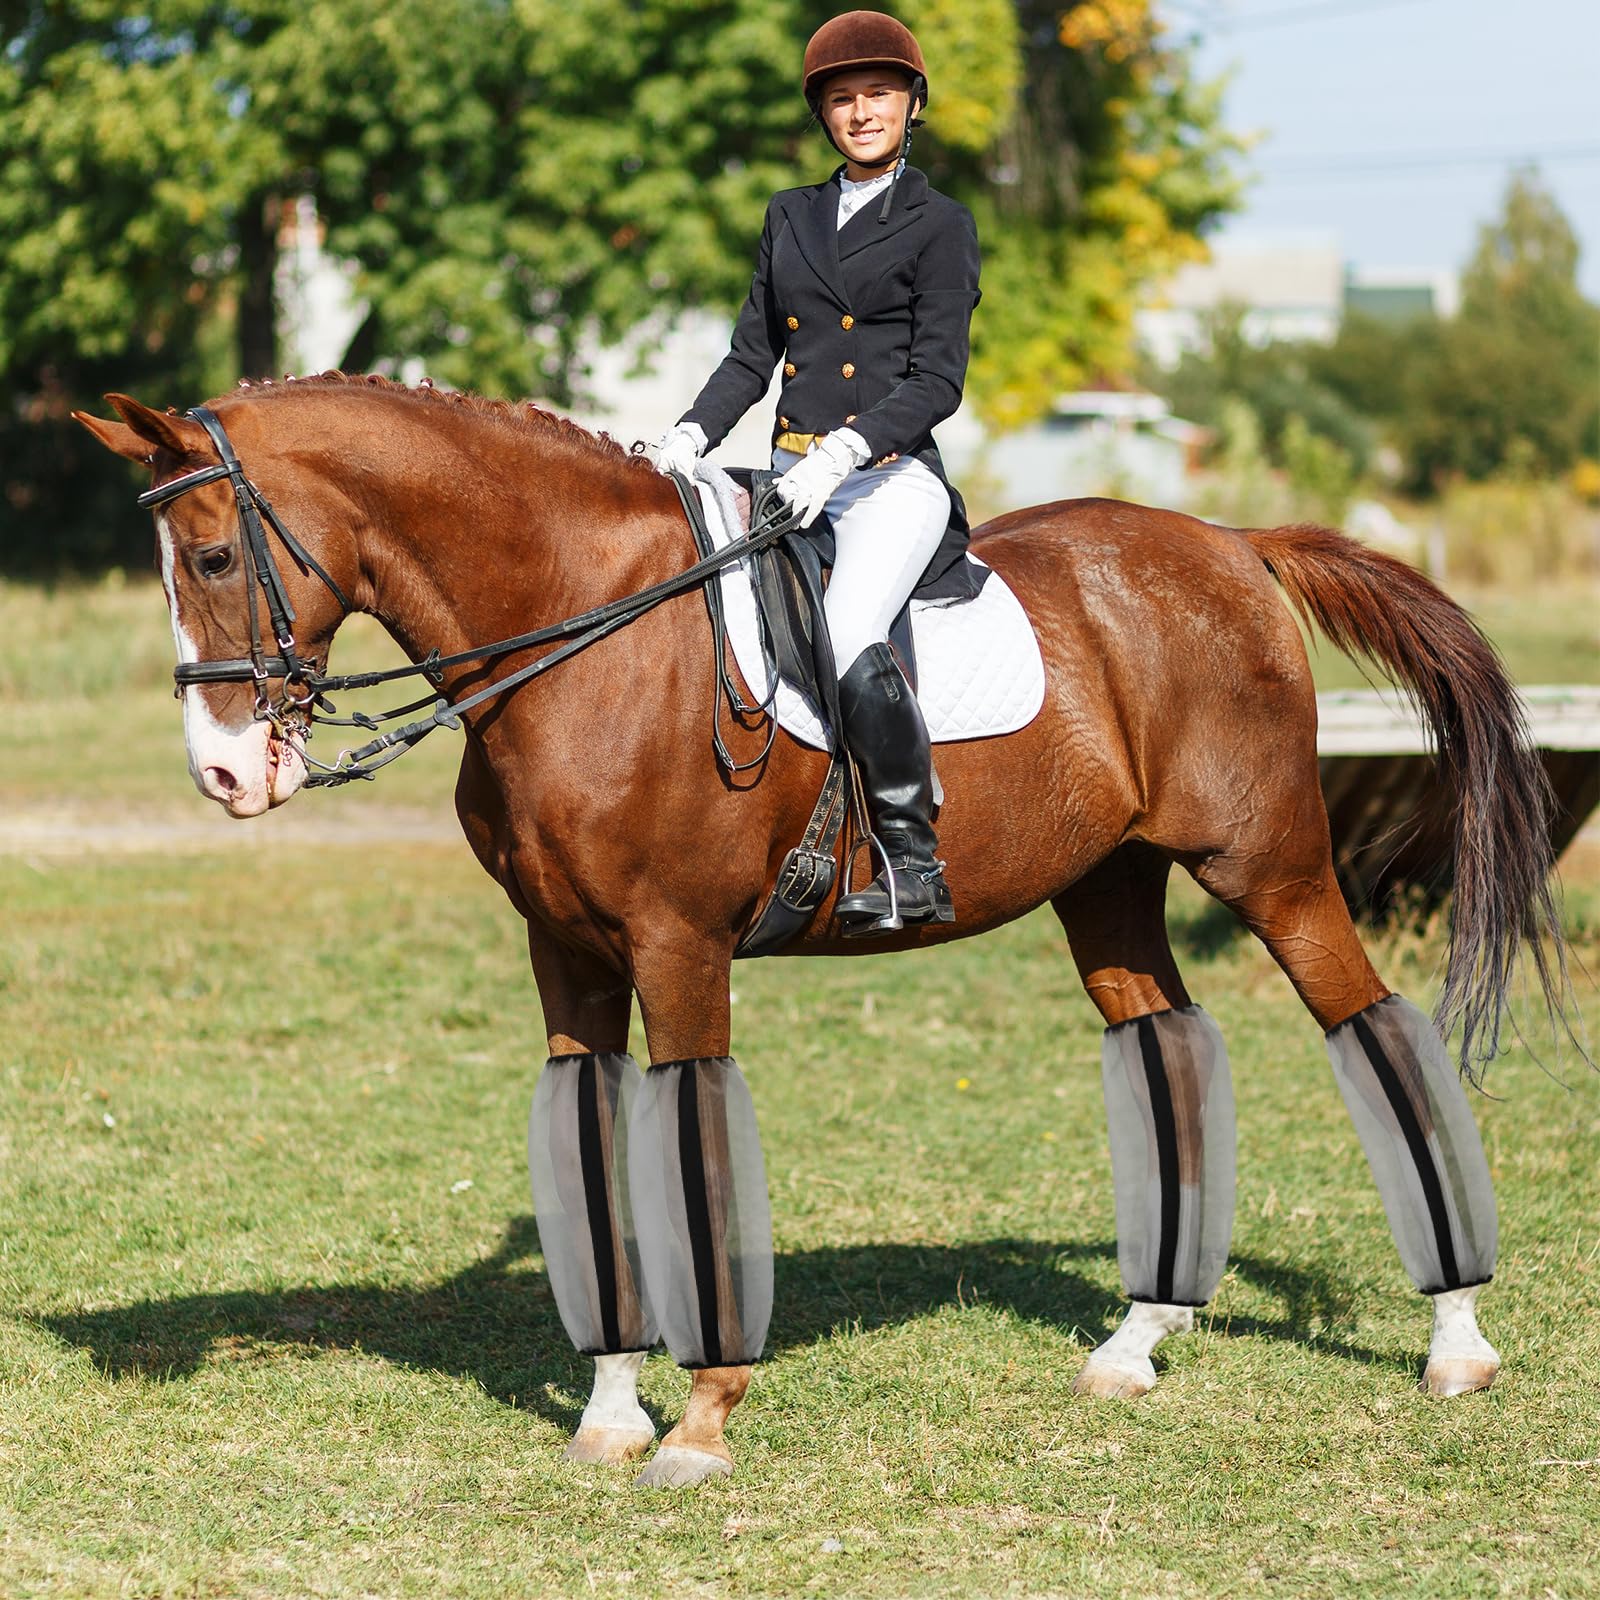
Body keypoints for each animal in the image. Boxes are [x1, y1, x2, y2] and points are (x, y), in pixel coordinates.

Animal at [76, 374, 1569, 1489]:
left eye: (214, 554)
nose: (227, 776)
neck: (580, 637)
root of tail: (1232, 545)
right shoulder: (568, 955)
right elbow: (591, 1149)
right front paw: (609, 1417)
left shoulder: (677, 947)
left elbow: (688, 1142)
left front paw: (700, 1421)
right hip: (1109, 887)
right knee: (1166, 1046)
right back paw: (1135, 1344)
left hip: (1272, 870)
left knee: (1375, 1032)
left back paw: (1455, 1343)